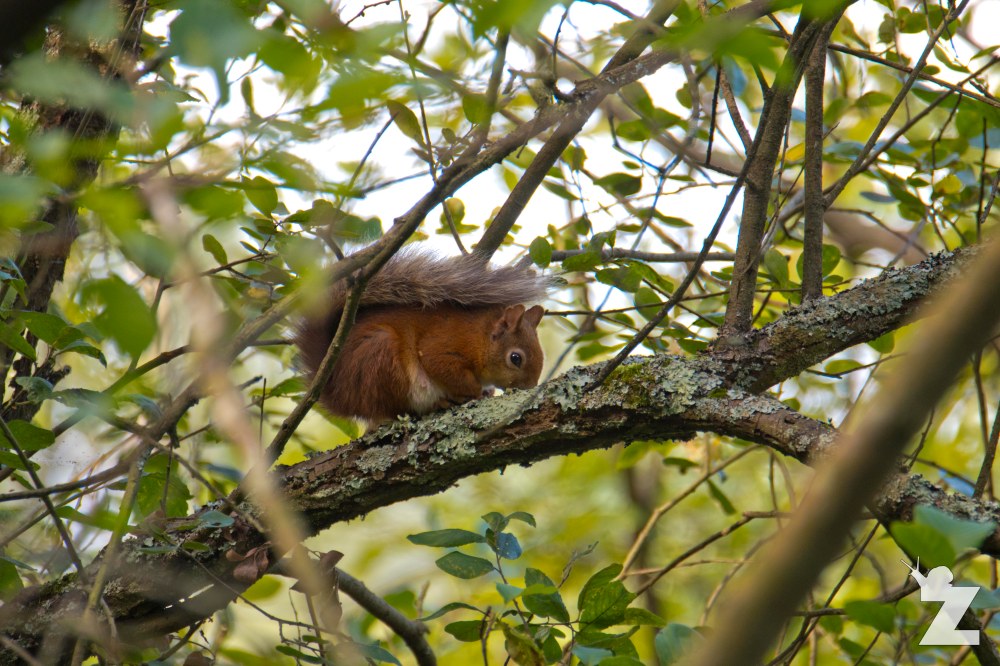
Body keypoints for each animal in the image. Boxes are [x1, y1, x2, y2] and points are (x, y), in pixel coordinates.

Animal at [295, 249, 550, 427]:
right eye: (515, 358)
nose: (529, 388)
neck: (480, 336)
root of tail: (339, 393)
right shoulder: (443, 346)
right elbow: (444, 368)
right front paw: (478, 392)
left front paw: (487, 391)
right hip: (381, 360)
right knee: (393, 408)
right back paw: (437, 403)